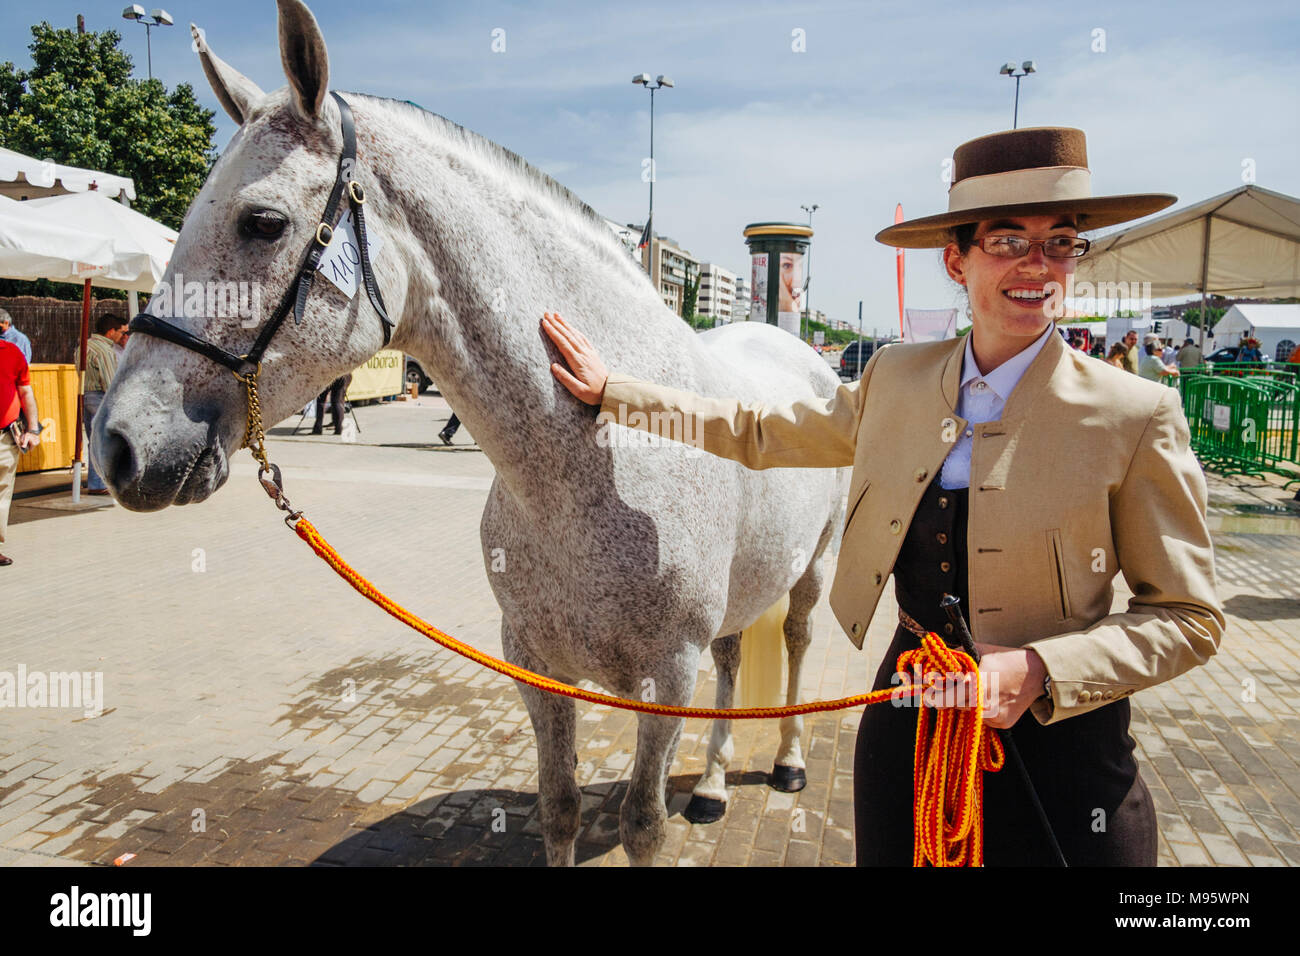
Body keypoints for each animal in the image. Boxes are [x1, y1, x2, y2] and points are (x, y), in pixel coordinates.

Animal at [93, 0, 848, 866]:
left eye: (263, 222)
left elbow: (642, 824)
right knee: (733, 656)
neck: (600, 465)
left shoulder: (667, 675)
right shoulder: (533, 663)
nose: (117, 445)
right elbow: (559, 806)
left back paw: (786, 762)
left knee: (797, 642)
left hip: (814, 569)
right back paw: (718, 784)